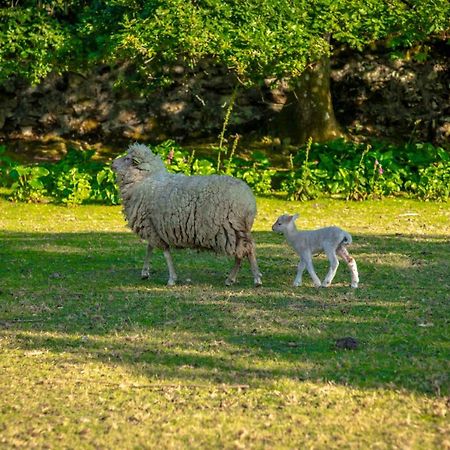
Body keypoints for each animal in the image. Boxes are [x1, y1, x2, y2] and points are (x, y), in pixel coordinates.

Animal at [110, 142, 262, 286]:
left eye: (127, 158)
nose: (112, 163)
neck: (144, 180)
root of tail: (249, 201)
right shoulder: (153, 226)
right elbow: (150, 248)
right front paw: (145, 272)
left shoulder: (152, 226)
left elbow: (165, 253)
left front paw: (171, 278)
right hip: (238, 229)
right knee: (243, 251)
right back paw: (232, 279)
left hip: (230, 228)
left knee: (246, 250)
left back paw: (254, 279)